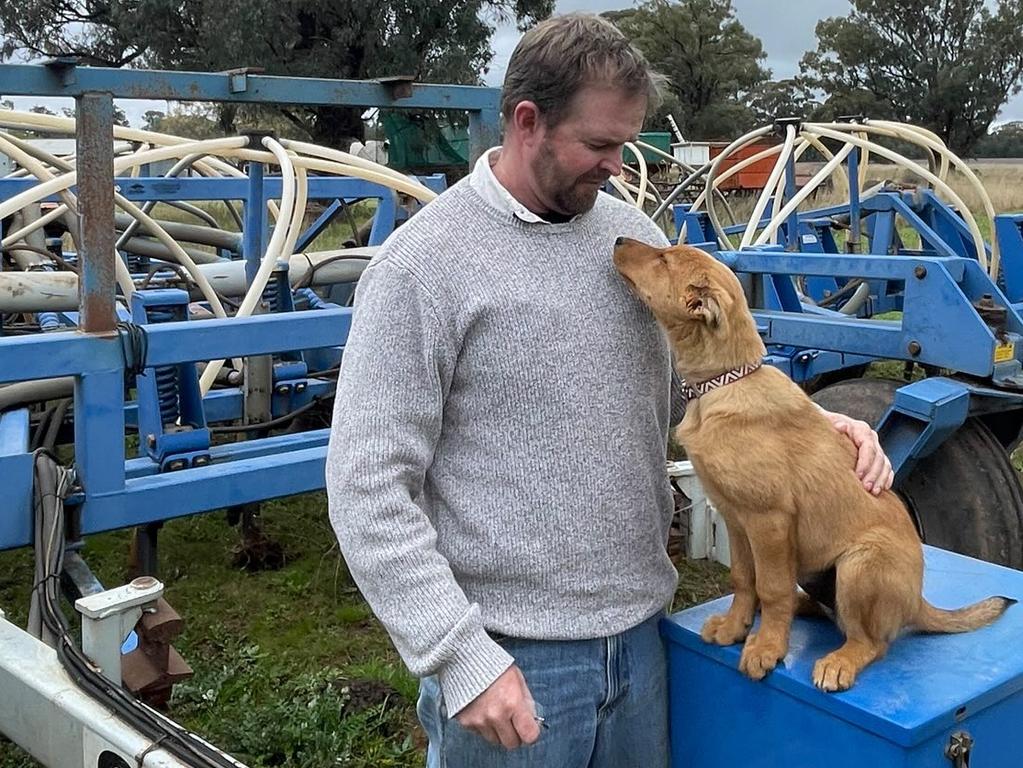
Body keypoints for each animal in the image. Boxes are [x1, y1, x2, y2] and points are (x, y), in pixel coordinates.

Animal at [609, 239, 1010, 691]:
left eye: (663, 259)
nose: (619, 241)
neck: (727, 382)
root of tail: (918, 602)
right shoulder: (735, 517)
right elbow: (744, 579)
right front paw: (735, 628)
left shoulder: (769, 519)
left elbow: (770, 587)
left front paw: (767, 648)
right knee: (827, 611)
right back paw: (801, 608)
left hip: (859, 564)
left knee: (870, 640)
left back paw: (839, 661)